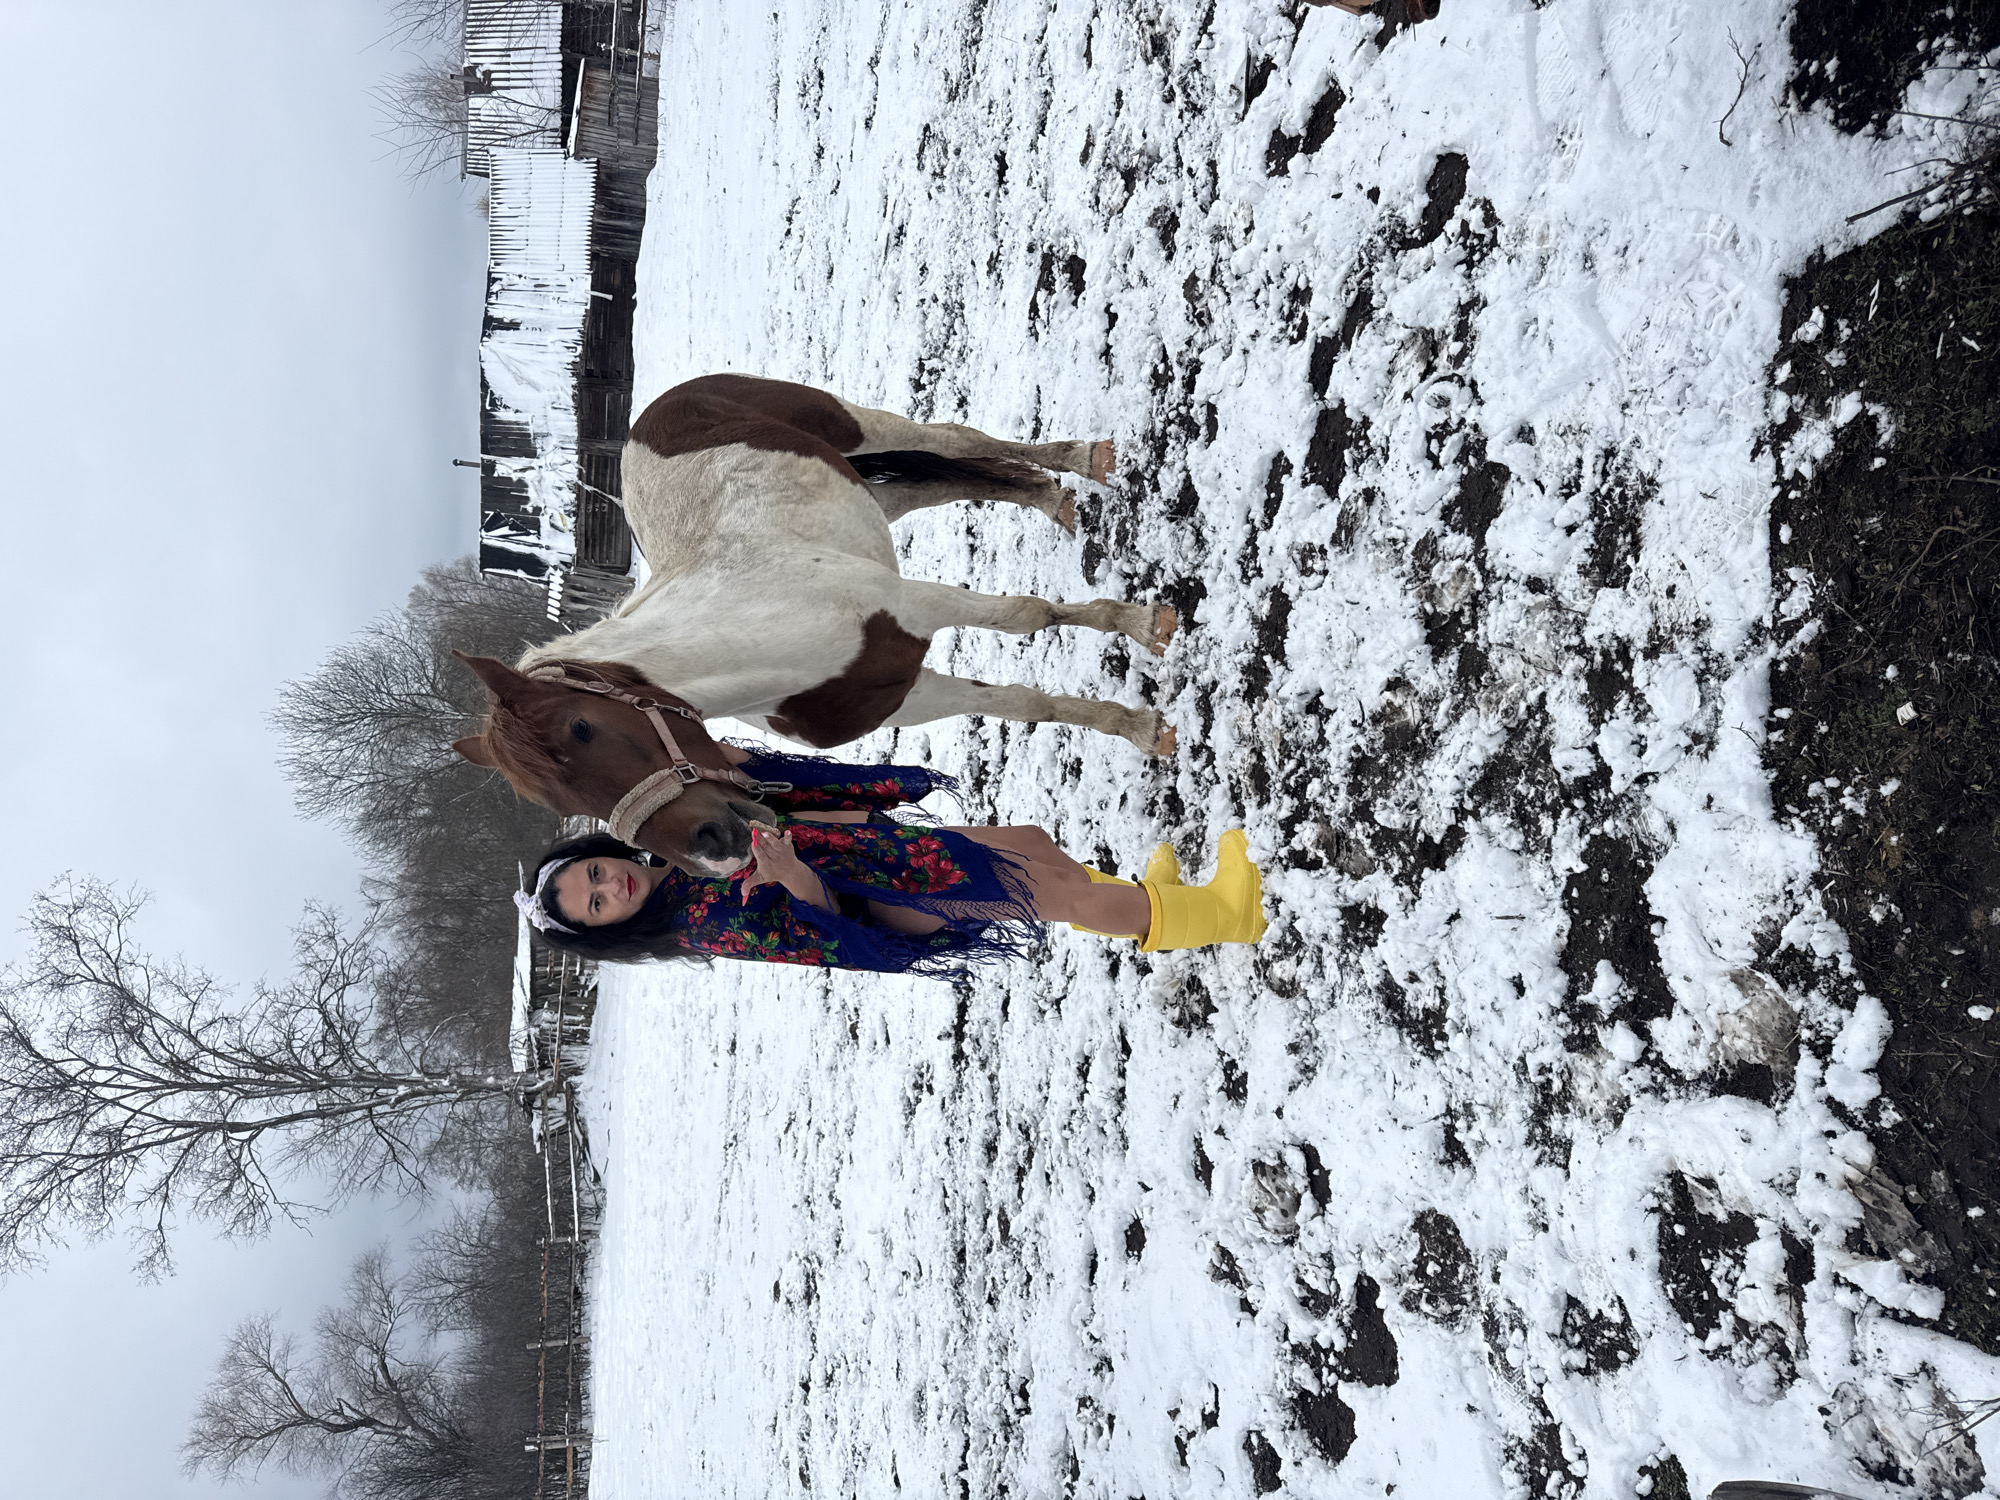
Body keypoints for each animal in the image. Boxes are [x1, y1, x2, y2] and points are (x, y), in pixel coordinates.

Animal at [452, 373, 1178, 875]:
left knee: (956, 440)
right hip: (877, 492)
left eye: (584, 727)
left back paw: (1081, 463)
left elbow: (1029, 615)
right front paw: (1135, 727)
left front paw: (1145, 630)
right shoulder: (906, 696)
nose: (710, 849)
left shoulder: (917, 604)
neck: (758, 632)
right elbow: (1025, 703)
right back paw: (1051, 498)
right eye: (558, 804)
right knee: (944, 482)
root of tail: (648, 417)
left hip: (857, 428)